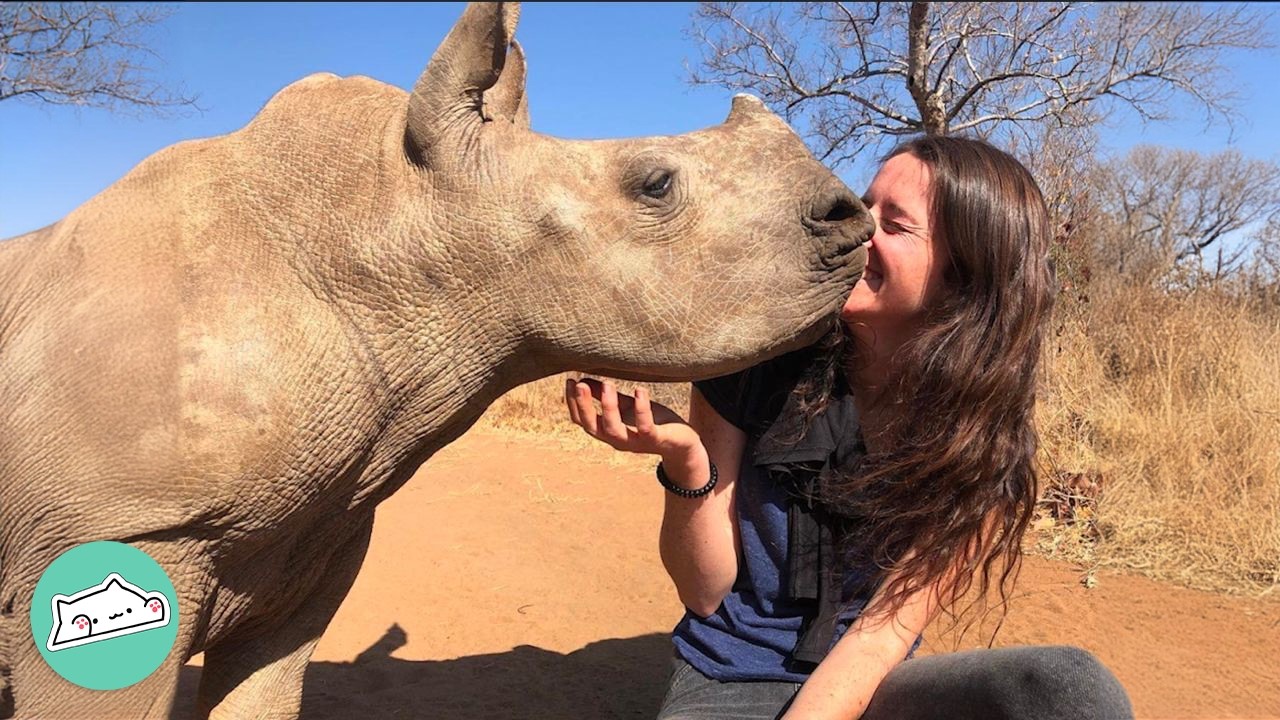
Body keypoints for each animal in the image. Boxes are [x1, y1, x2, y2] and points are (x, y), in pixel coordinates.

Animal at [0, 3, 871, 718]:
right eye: (655, 184)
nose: (850, 215)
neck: (393, 220)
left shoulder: (310, 543)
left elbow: (265, 690)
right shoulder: (128, 527)